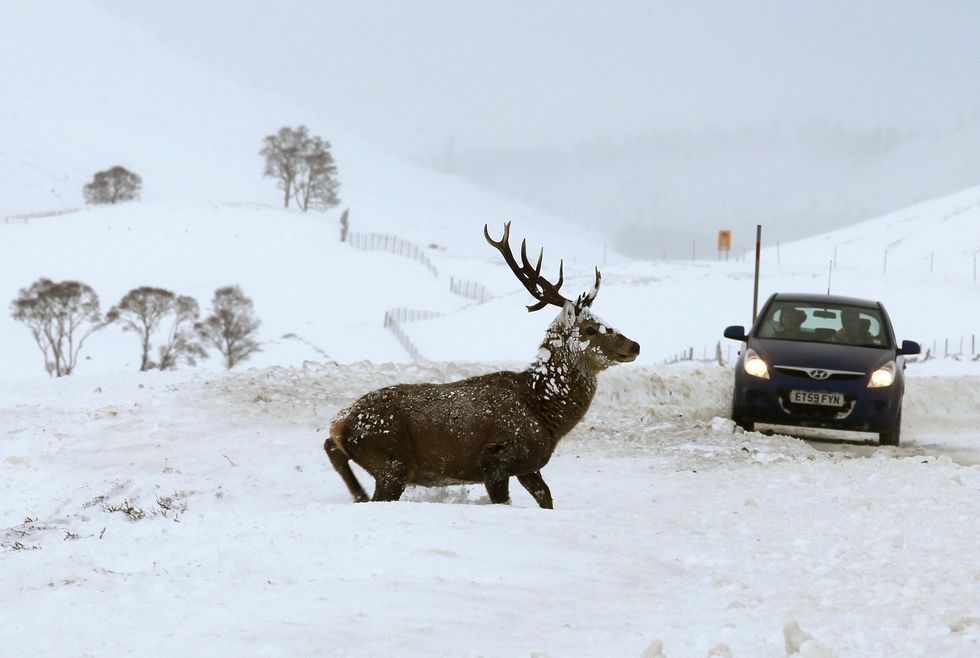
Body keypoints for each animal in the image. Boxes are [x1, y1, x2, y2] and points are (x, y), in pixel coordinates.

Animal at [326, 222, 640, 508]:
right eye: (590, 329)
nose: (634, 345)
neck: (544, 412)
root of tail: (340, 422)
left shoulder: (529, 466)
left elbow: (547, 498)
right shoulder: (495, 460)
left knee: (332, 449)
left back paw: (357, 492)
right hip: (391, 463)